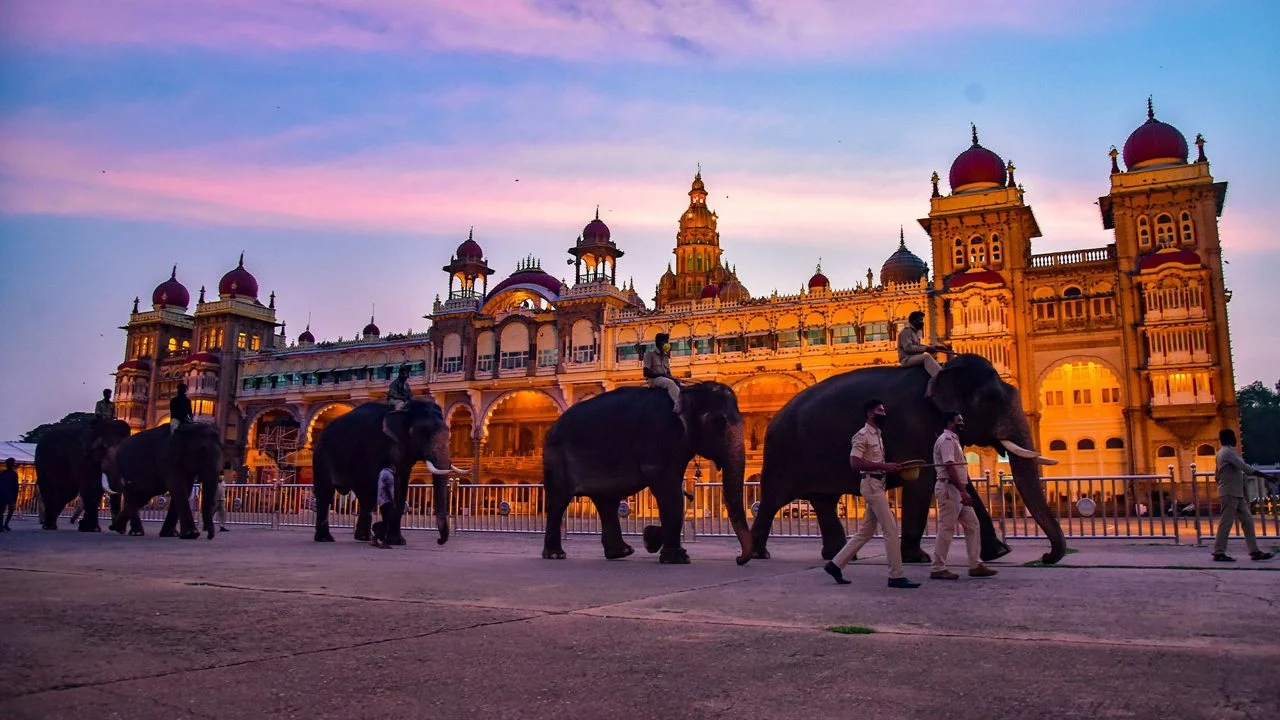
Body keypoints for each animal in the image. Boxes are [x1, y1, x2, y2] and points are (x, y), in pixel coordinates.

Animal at [312, 400, 463, 546]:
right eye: (424, 433)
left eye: (449, 433)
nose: (439, 541)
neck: (404, 410)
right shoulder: (374, 446)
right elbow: (384, 489)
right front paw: (393, 540)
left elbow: (400, 489)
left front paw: (398, 541)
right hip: (322, 454)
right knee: (325, 493)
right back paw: (325, 539)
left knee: (365, 496)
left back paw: (364, 537)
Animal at [541, 381, 753, 565]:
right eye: (719, 423)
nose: (738, 559)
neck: (687, 390)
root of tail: (552, 427)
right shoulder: (658, 438)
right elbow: (669, 491)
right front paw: (677, 558)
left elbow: (675, 490)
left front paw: (653, 539)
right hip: (556, 460)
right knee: (559, 502)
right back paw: (555, 555)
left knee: (606, 501)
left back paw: (621, 552)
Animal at [751, 353, 1066, 565]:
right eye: (991, 400)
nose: (1046, 556)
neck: (940, 371)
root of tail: (775, 417)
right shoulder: (914, 425)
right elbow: (921, 481)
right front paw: (919, 558)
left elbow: (962, 481)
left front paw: (1000, 553)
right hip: (782, 454)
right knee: (771, 501)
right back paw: (759, 553)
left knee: (823, 500)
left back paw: (839, 555)